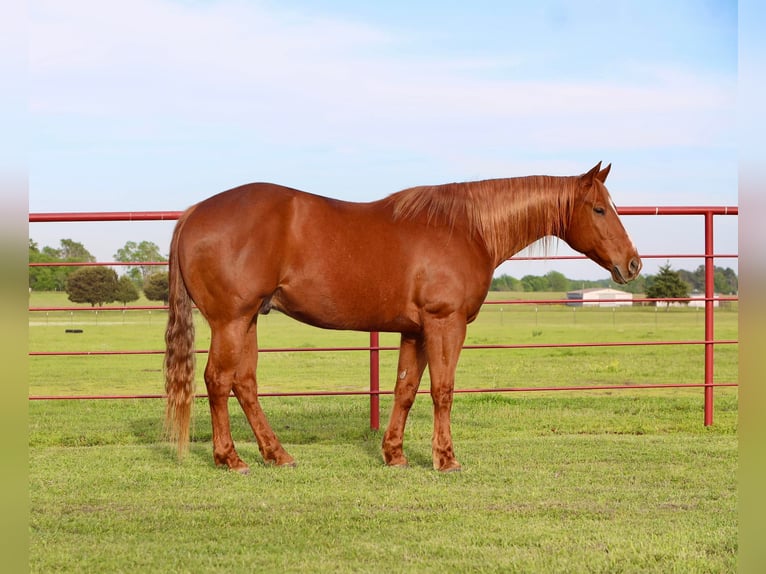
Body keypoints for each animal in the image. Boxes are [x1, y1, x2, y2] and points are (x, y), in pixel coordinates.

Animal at [166, 163, 640, 476]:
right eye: (599, 209)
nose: (632, 264)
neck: (466, 228)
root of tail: (192, 213)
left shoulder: (415, 331)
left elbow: (405, 390)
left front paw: (394, 454)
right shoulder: (445, 323)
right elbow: (443, 391)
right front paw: (445, 459)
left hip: (248, 320)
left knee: (244, 384)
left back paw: (276, 454)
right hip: (231, 321)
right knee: (217, 381)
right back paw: (231, 459)